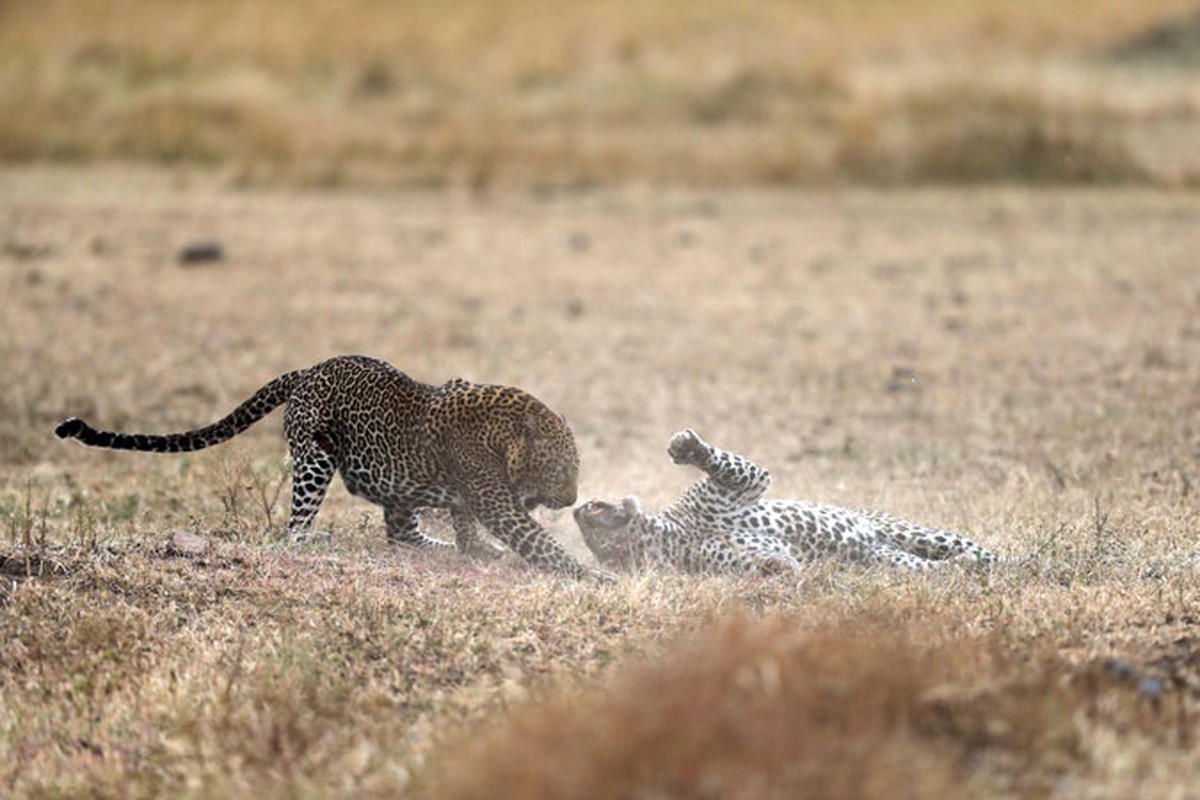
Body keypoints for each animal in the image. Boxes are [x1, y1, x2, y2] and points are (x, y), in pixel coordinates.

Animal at [56, 352, 600, 578]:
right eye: (561, 470)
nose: (572, 499)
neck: (505, 434)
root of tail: (307, 370)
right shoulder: (497, 501)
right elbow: (538, 543)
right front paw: (594, 577)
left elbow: (470, 528)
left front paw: (477, 549)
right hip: (315, 459)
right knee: (295, 527)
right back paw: (312, 541)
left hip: (395, 487)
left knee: (401, 533)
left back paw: (441, 546)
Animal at [576, 429, 998, 578]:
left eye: (586, 516)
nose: (578, 509)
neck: (678, 535)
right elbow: (771, 564)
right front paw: (787, 568)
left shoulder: (744, 484)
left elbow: (723, 462)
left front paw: (685, 446)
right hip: (892, 560)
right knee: (937, 568)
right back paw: (968, 567)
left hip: (917, 534)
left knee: (988, 553)